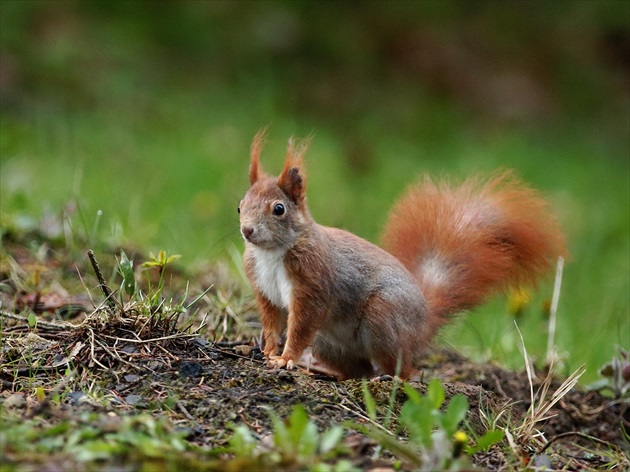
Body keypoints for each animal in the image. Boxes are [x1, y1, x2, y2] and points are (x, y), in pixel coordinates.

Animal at [241, 133, 568, 380]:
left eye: (279, 209)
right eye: (240, 205)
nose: (246, 230)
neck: (272, 253)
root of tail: (423, 322)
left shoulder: (313, 284)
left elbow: (300, 326)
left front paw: (286, 359)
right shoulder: (264, 288)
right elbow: (271, 322)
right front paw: (268, 351)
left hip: (382, 318)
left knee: (402, 368)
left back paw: (391, 377)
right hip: (328, 342)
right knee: (359, 369)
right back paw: (333, 373)